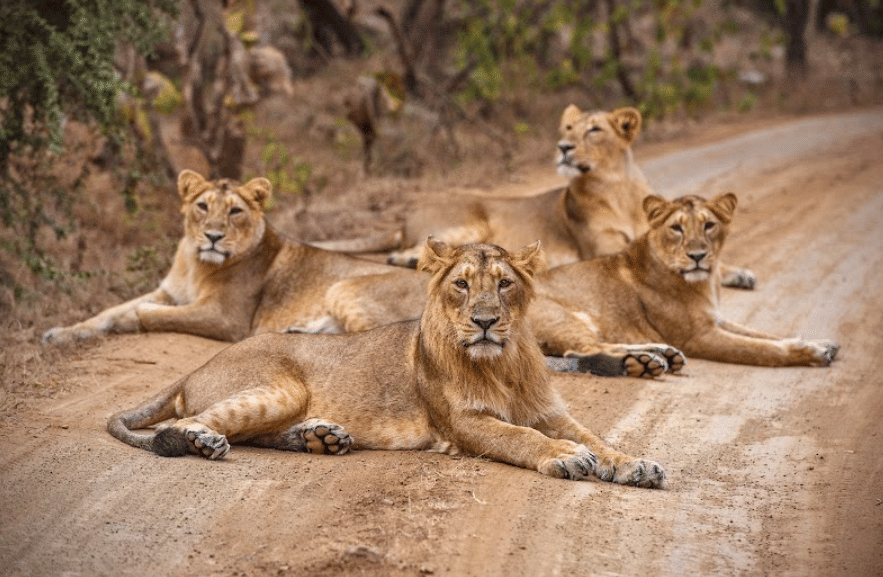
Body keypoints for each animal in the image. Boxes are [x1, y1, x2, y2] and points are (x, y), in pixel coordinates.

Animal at [42, 169, 399, 345]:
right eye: (203, 206)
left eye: (235, 211)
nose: (213, 236)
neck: (195, 265)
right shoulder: (168, 292)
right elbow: (107, 311)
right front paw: (59, 334)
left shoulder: (225, 317)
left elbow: (156, 315)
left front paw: (131, 319)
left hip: (345, 288)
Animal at [106, 240, 666, 488]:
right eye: (461, 284)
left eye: (505, 283)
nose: (485, 321)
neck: (502, 362)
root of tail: (193, 369)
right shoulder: (465, 424)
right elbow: (522, 437)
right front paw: (566, 457)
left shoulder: (552, 413)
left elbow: (597, 438)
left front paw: (633, 463)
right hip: (279, 388)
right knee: (183, 425)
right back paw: (205, 441)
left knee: (251, 434)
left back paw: (321, 437)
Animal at [311, 105, 754, 289]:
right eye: (568, 128)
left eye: (594, 130)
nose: (563, 147)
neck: (617, 188)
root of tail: (405, 215)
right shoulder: (602, 249)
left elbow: (711, 259)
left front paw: (736, 271)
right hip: (472, 223)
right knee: (416, 252)